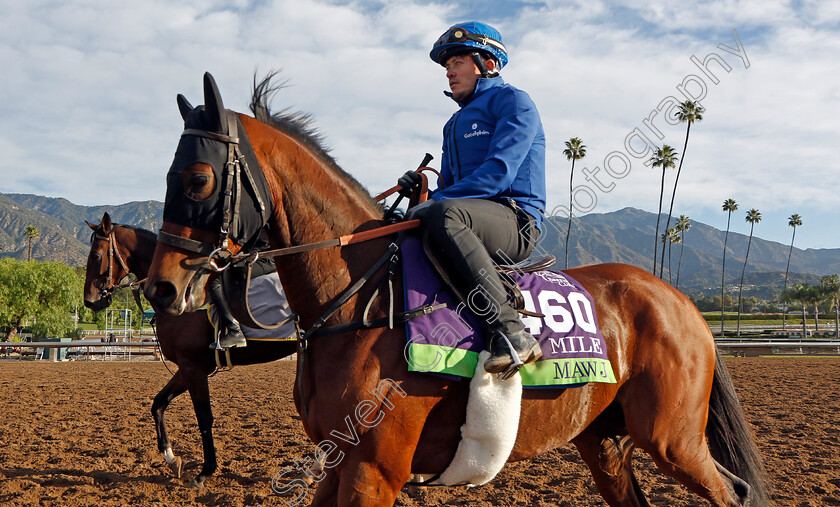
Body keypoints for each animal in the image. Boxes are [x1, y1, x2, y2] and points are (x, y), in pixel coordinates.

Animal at [83, 213, 298, 488]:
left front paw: (205, 471)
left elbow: (204, 416)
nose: (89, 300)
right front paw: (171, 458)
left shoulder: (193, 368)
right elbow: (158, 403)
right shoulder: (188, 368)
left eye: (95, 256)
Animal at [143, 72, 768, 507]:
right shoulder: (338, 459)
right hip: (605, 439)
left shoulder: (374, 471)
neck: (364, 302)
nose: (161, 289)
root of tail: (680, 301)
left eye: (197, 179)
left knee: (732, 492)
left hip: (673, 440)